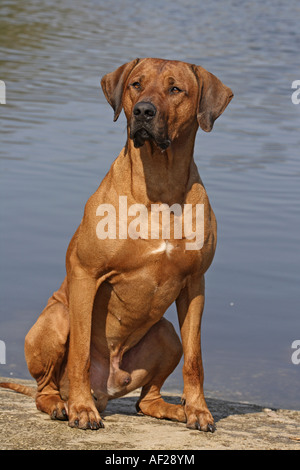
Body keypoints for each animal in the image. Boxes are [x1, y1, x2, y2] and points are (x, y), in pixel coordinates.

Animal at [0, 58, 232, 434]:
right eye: (136, 84)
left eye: (175, 89)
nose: (143, 111)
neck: (159, 184)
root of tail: (106, 391)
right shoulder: (85, 275)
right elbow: (80, 353)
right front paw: (81, 411)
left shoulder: (195, 284)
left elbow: (195, 358)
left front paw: (199, 410)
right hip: (57, 318)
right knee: (44, 388)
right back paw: (63, 405)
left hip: (167, 334)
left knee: (145, 401)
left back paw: (173, 409)